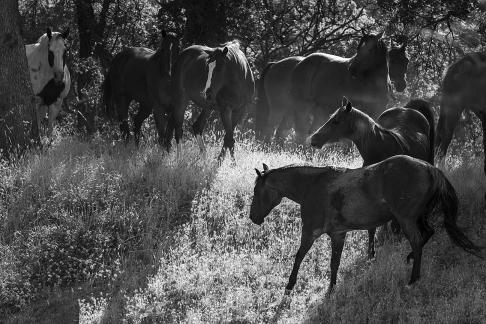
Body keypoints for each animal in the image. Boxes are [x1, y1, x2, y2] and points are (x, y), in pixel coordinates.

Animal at [251, 158, 482, 298]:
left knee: (417, 240)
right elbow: (334, 263)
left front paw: (289, 286)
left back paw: (412, 279)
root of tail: (430, 168)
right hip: (419, 217)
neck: (313, 186)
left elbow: (299, 256)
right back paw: (409, 260)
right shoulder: (338, 234)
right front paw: (331, 289)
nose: (253, 217)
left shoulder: (310, 232)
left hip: (407, 219)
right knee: (428, 234)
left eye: (256, 191)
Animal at [310, 97, 434, 260]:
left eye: (336, 121)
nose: (313, 140)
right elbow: (372, 227)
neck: (380, 149)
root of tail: (408, 108)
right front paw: (371, 254)